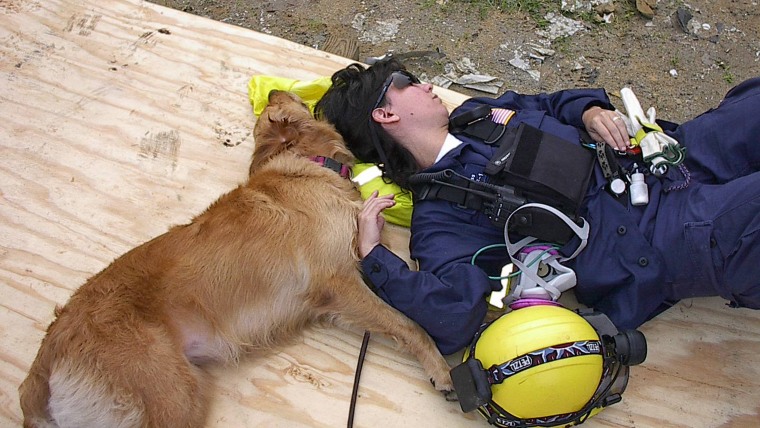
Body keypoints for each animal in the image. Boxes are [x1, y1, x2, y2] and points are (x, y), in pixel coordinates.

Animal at [19, 89, 452, 424]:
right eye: (274, 104)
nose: (273, 89)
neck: (308, 166)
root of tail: (48, 351)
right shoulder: (339, 284)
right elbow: (409, 325)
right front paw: (440, 369)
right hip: (172, 398)